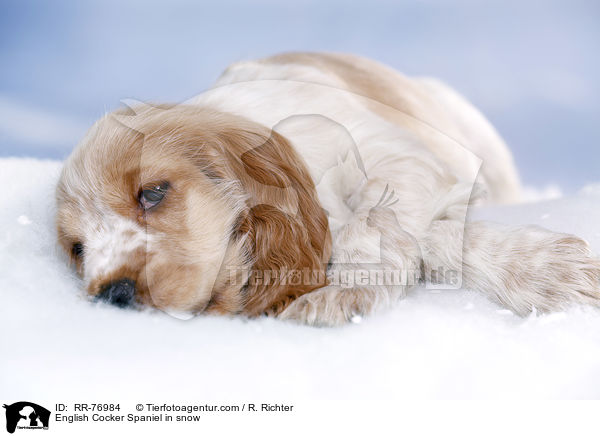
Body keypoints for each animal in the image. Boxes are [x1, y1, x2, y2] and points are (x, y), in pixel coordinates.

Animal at [56, 52, 600, 324]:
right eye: (77, 249)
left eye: (152, 193)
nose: (113, 295)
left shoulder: (408, 161)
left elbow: (378, 225)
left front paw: (341, 293)